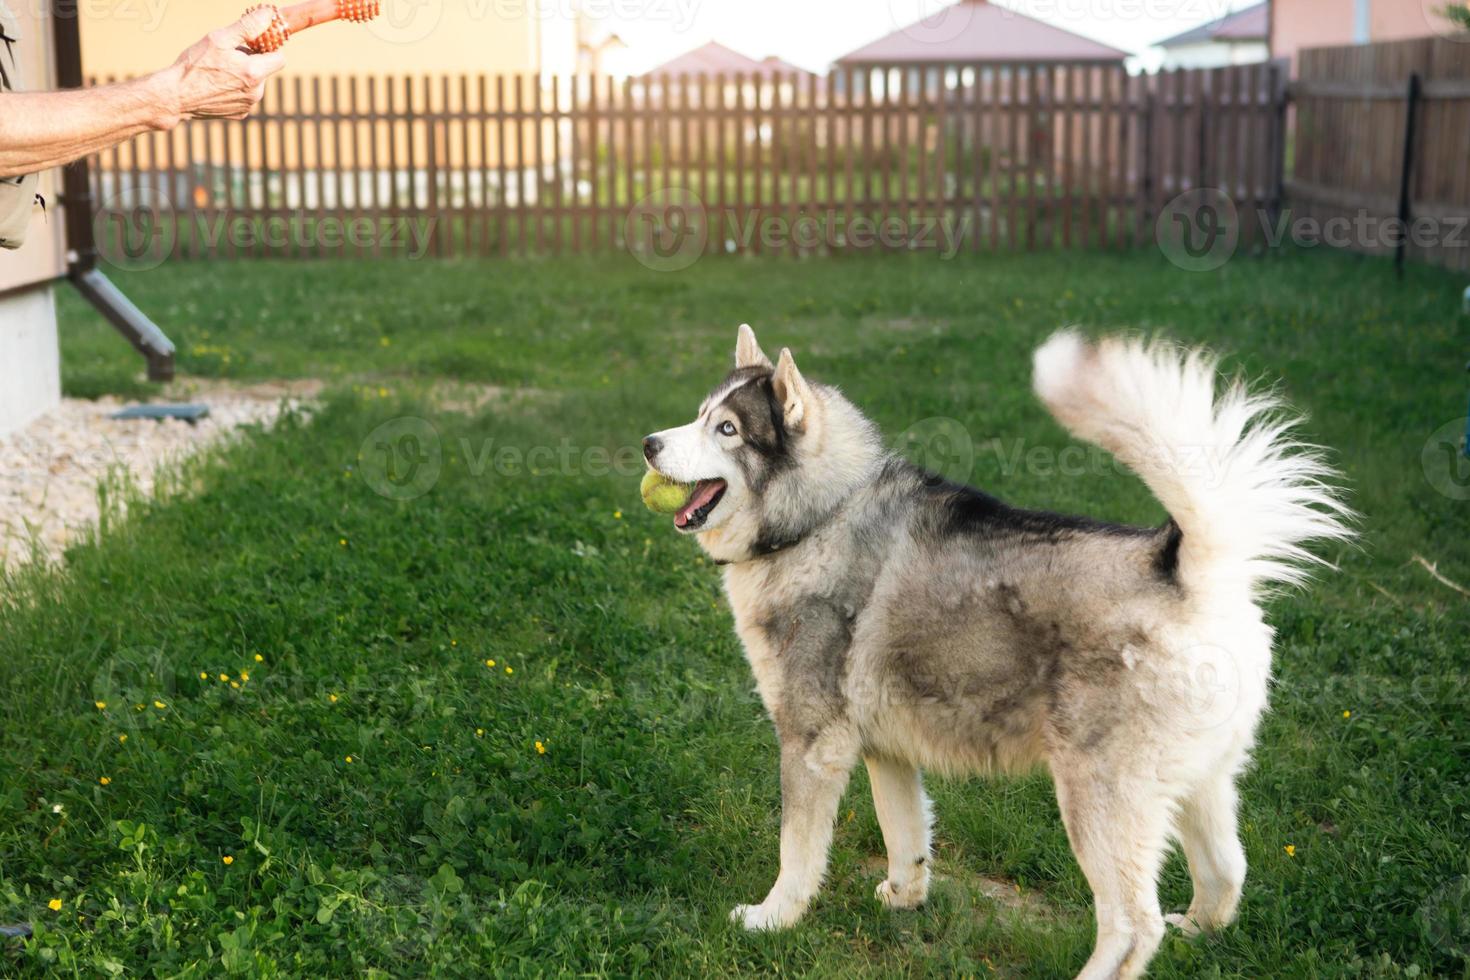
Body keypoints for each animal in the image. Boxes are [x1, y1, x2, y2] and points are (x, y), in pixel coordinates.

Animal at [643, 326, 1352, 975]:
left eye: (728, 429)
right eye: (700, 415)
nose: (648, 445)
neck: (821, 515)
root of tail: (1185, 570)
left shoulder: (812, 744)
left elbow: (796, 852)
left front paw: (771, 919)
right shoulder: (884, 750)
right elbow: (905, 834)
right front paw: (904, 899)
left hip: (1098, 800)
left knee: (1132, 926)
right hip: (1199, 787)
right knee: (1227, 872)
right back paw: (1198, 933)